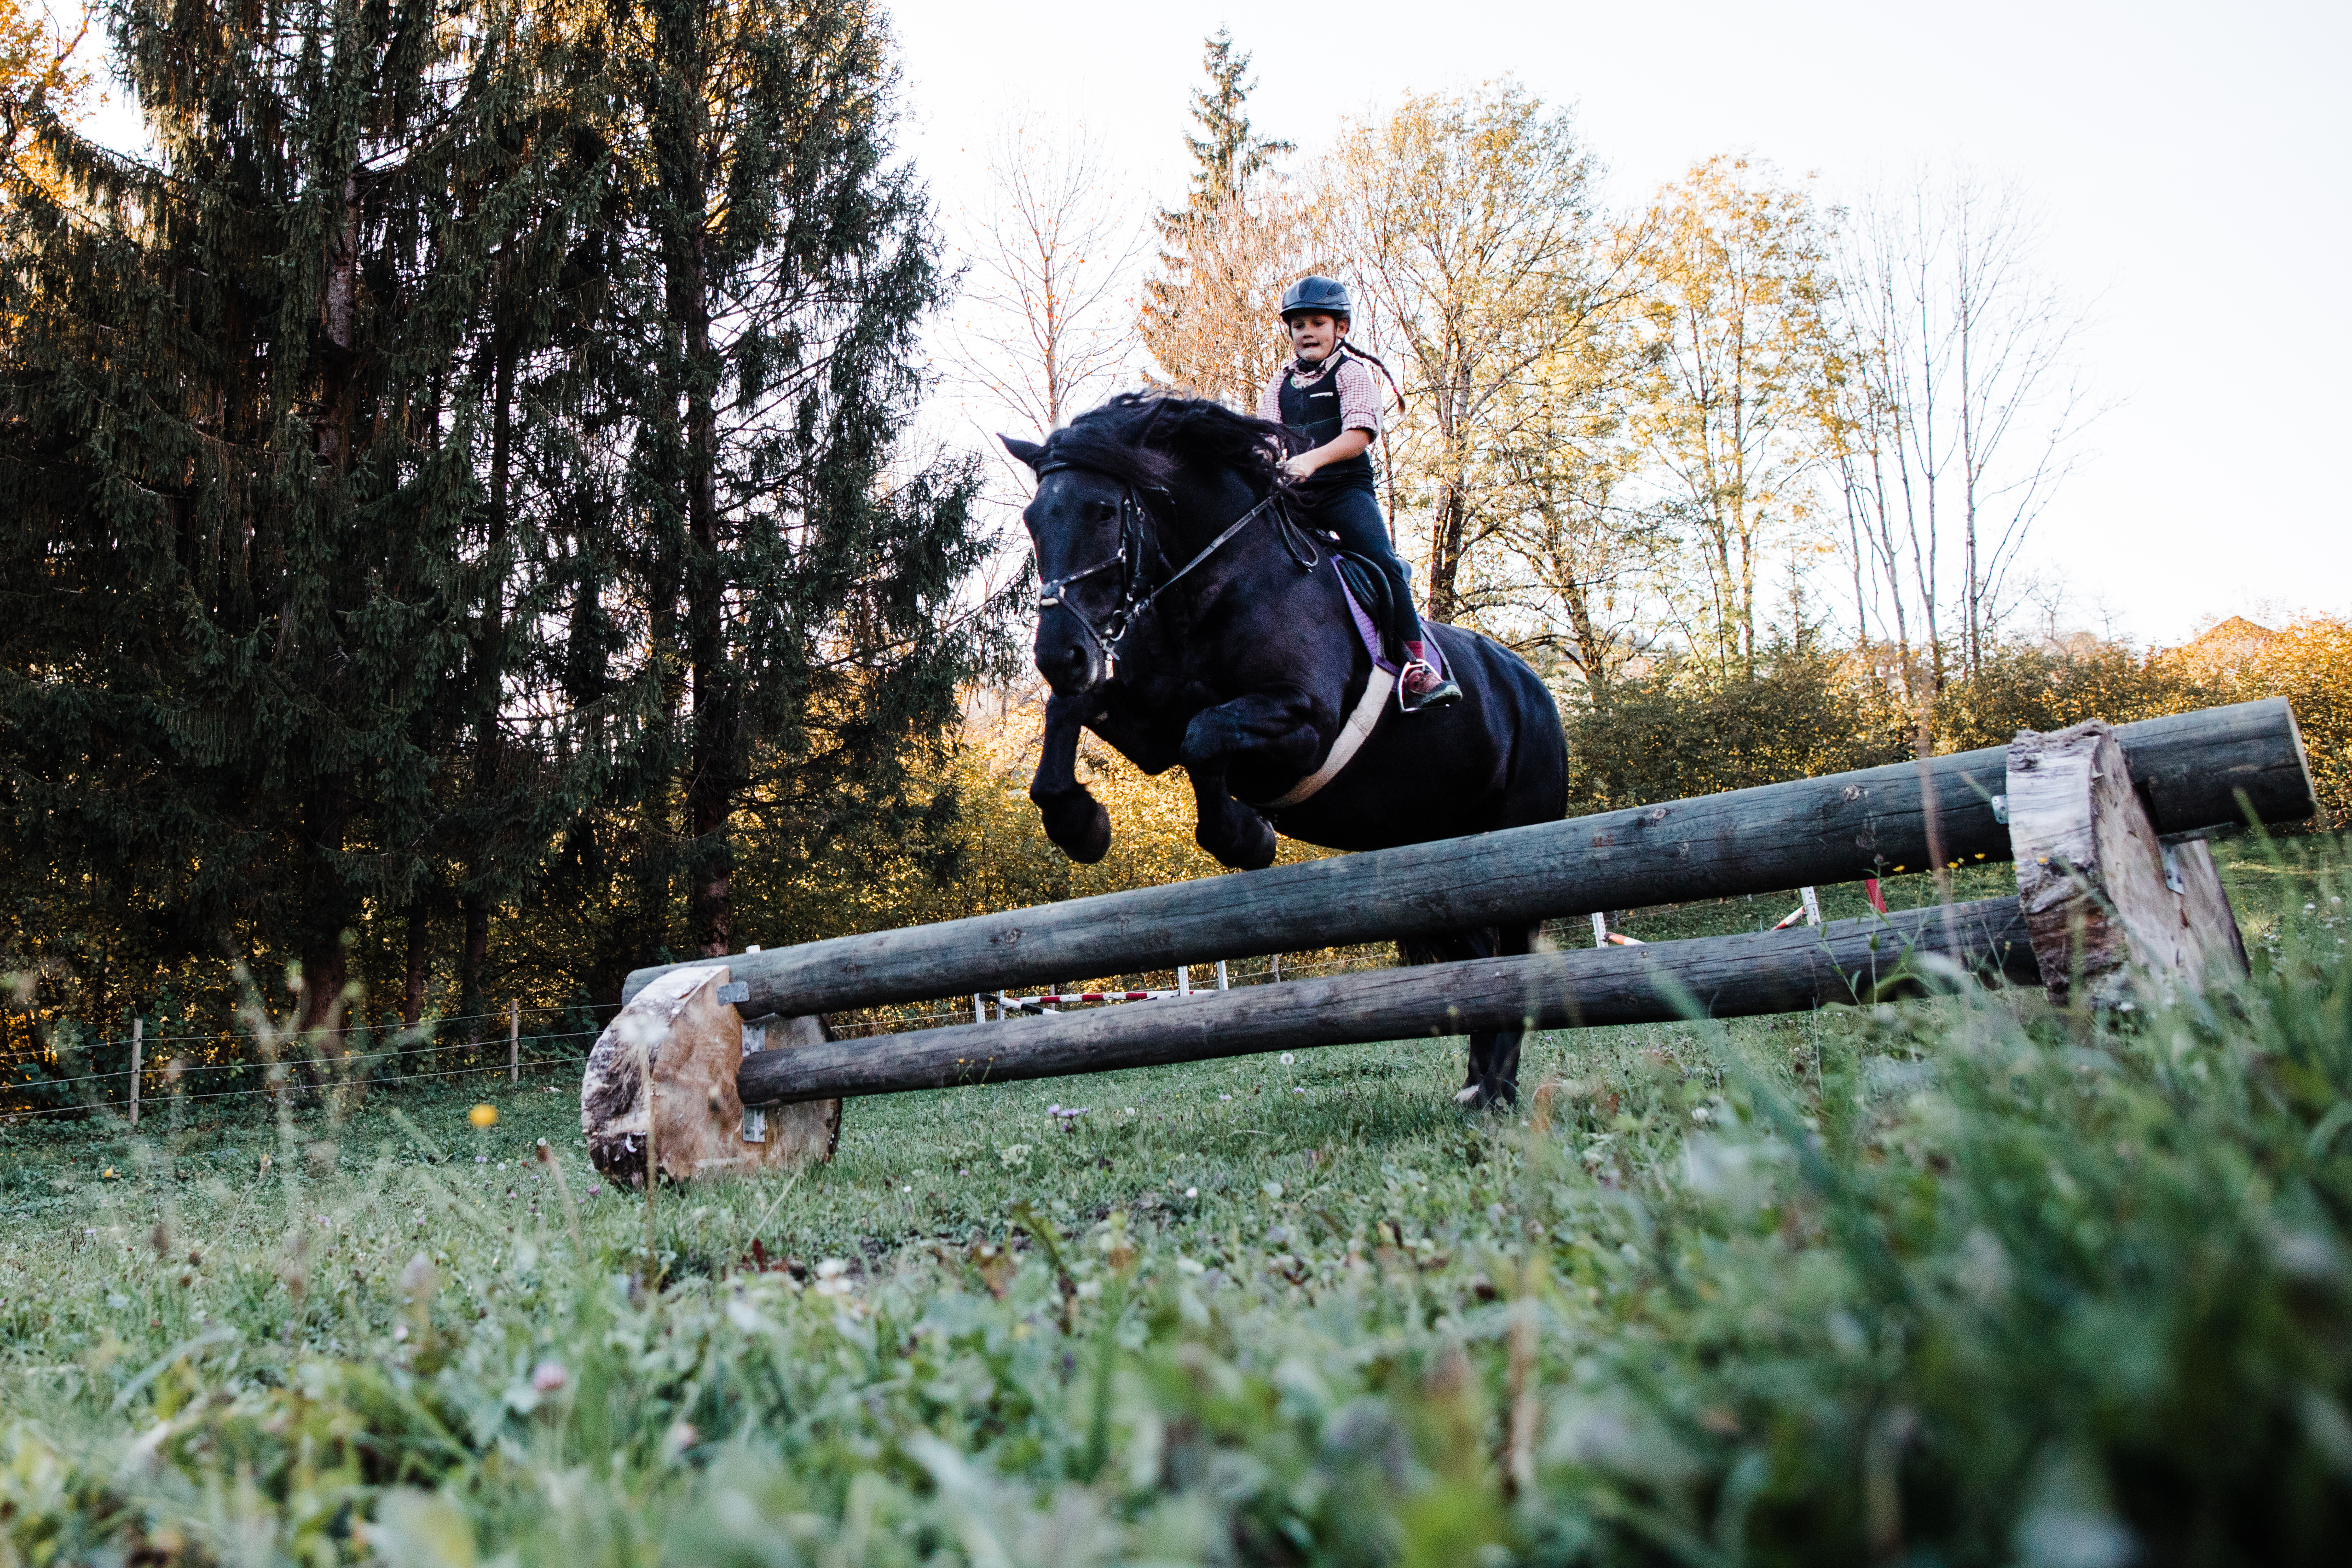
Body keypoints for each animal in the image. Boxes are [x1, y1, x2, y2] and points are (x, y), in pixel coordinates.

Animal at [1002, 395, 1571, 1105]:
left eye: (1104, 511)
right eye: (1032, 520)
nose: (1058, 655)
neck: (1211, 584)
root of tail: (1534, 688)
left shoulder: (1304, 726)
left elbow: (1206, 735)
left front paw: (1246, 836)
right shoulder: (1147, 717)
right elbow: (1073, 713)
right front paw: (1079, 823)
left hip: (1515, 833)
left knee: (1513, 957)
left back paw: (1494, 1091)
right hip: (1436, 856)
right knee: (1477, 958)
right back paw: (1475, 1089)